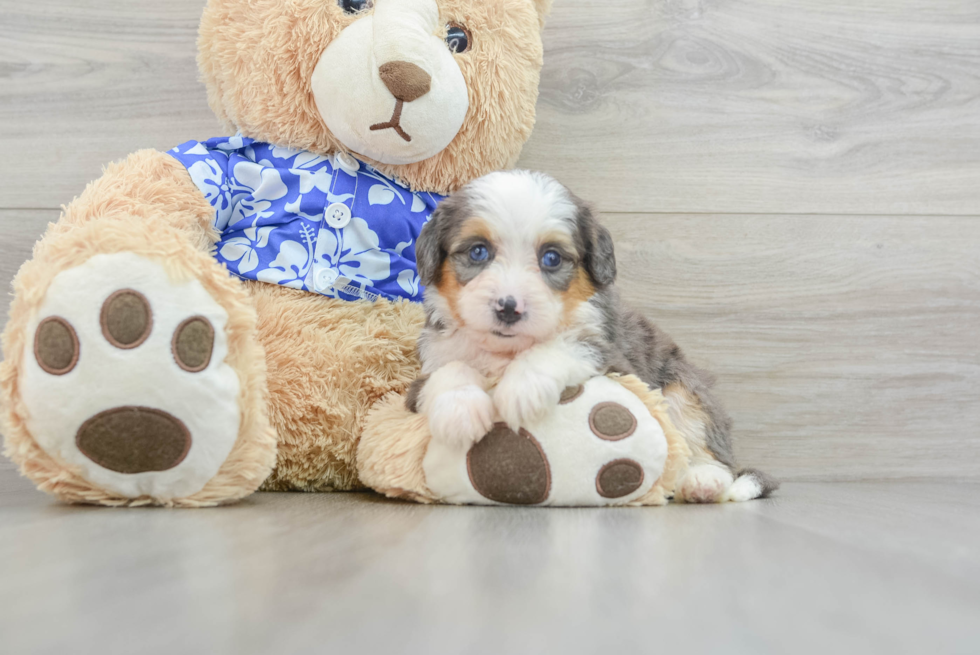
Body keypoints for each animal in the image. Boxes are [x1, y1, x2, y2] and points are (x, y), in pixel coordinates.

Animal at [406, 169, 772, 502]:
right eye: (478, 252)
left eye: (551, 257)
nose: (509, 308)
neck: (505, 353)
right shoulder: (426, 368)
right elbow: (451, 369)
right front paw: (459, 411)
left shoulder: (615, 360)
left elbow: (563, 346)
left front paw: (522, 389)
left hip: (683, 388)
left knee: (712, 452)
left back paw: (702, 481)